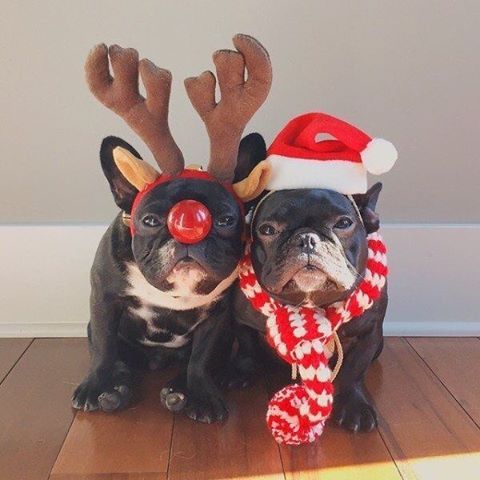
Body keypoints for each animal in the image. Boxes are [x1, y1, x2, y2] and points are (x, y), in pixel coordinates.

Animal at [231, 110, 396, 444]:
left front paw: (355, 406)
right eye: (267, 229)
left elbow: (355, 370)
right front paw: (242, 371)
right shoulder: (242, 320)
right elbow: (247, 347)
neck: (311, 304)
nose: (307, 238)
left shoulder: (369, 332)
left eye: (344, 223)